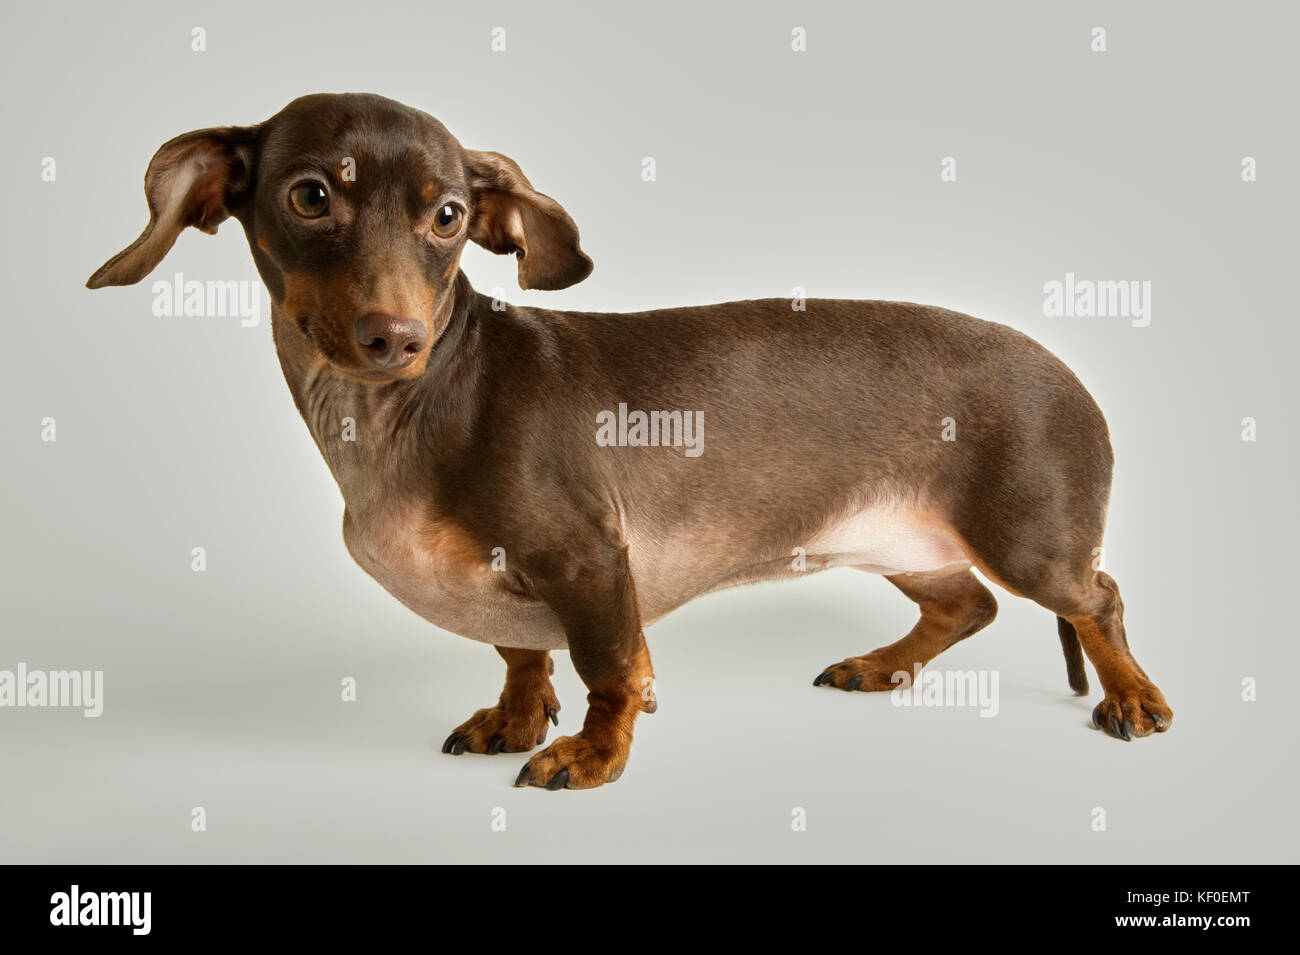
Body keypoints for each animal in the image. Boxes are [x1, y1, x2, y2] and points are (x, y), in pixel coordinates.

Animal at [86, 91, 1175, 789]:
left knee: (1099, 598)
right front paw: (516, 715)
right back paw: (881, 666)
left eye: (449, 214)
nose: (393, 338)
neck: (410, 407)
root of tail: (1073, 379)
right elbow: (523, 652)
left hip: (1029, 542)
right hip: (897, 542)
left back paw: (1134, 698)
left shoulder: (589, 561)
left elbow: (612, 668)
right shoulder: (509, 586)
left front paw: (592, 753)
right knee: (966, 606)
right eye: (311, 194)